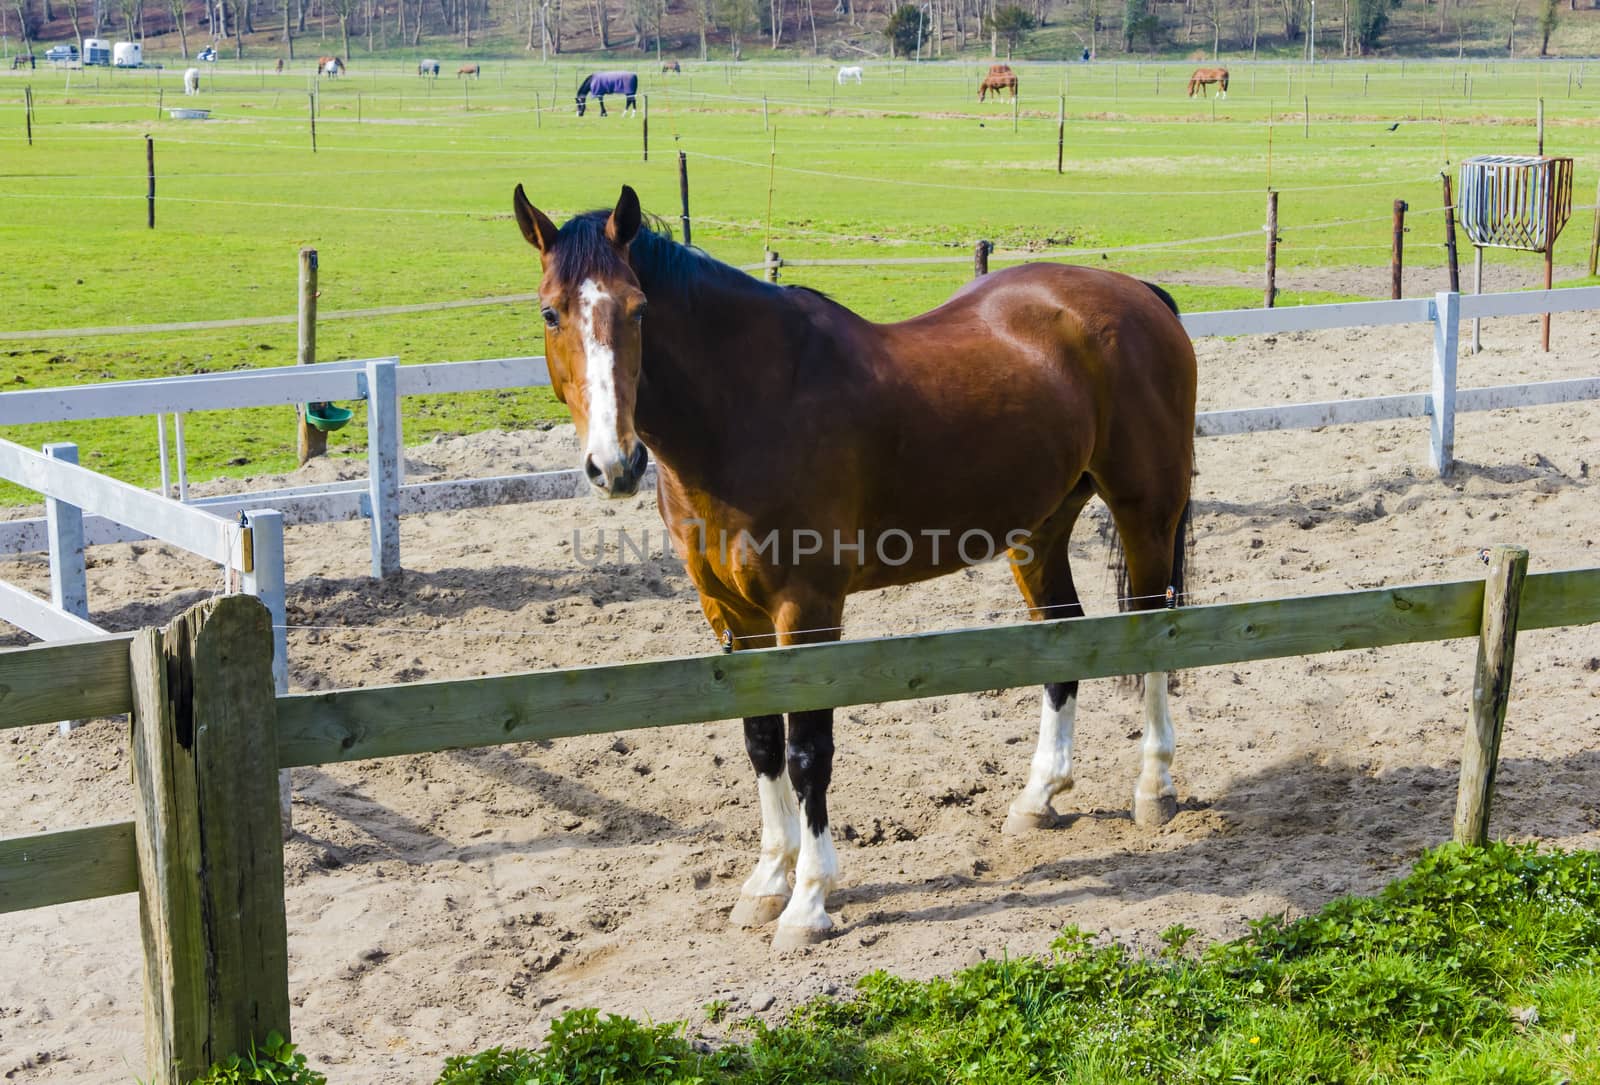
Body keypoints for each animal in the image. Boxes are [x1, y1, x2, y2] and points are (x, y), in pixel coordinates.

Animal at [505, 187, 1196, 953]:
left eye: (638, 309)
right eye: (550, 312)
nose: (615, 465)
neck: (749, 407)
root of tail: (1140, 294)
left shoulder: (806, 611)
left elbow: (808, 750)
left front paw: (808, 900)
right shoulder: (731, 614)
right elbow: (760, 741)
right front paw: (766, 881)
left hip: (1146, 512)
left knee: (1154, 631)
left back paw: (1154, 789)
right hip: (1040, 529)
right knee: (1064, 636)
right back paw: (1039, 797)